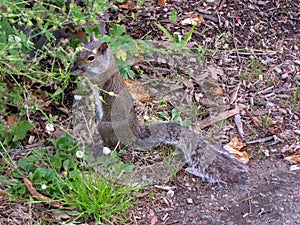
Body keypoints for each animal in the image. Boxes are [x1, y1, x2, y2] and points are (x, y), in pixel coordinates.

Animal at [71, 33, 248, 185]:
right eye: (81, 50)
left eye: (91, 58)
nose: (76, 64)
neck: (107, 63)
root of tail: (136, 133)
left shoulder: (102, 77)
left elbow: (93, 79)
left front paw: (80, 73)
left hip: (106, 126)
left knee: (116, 147)